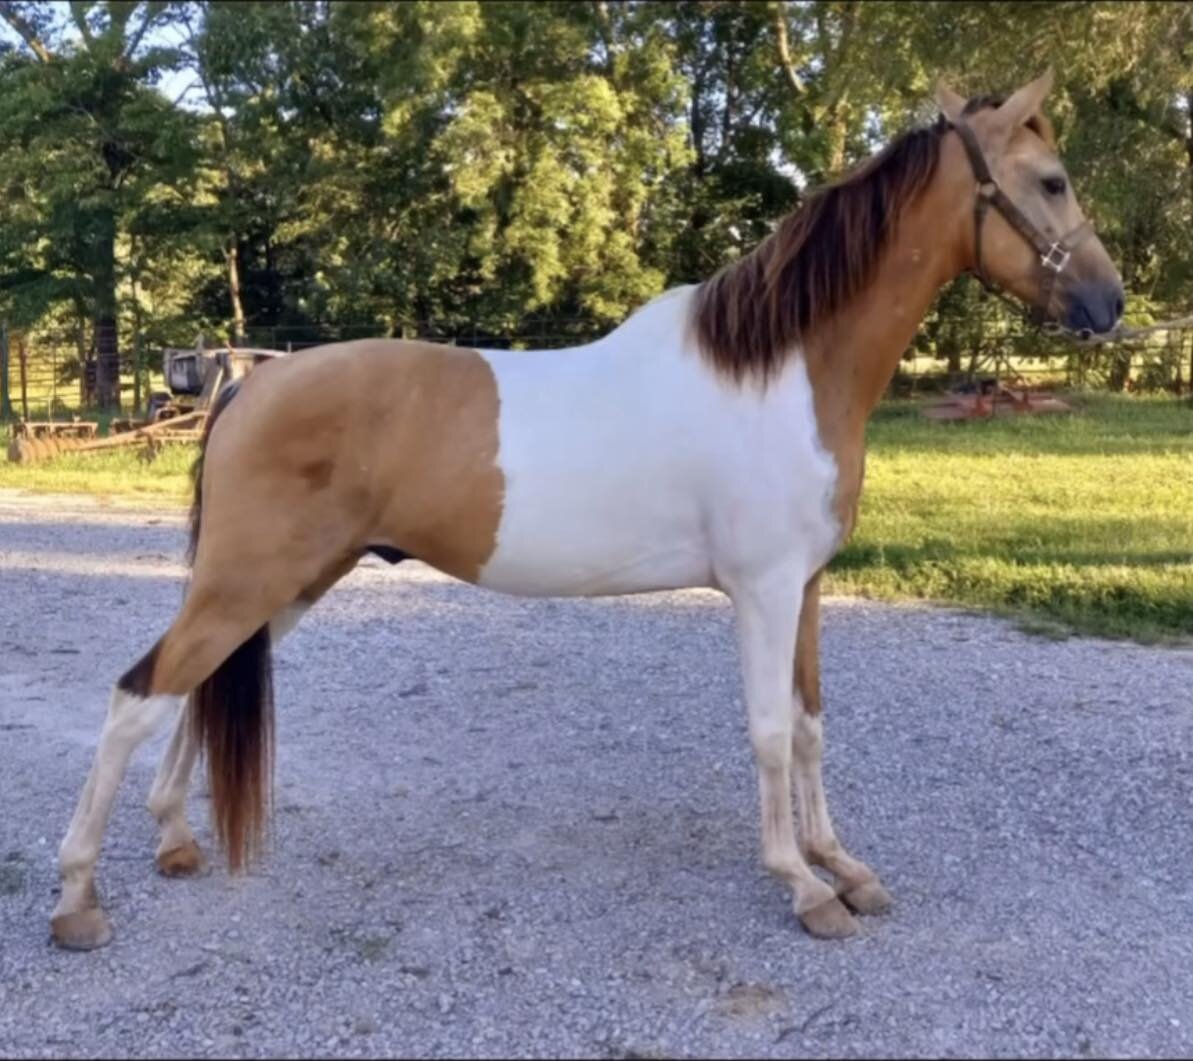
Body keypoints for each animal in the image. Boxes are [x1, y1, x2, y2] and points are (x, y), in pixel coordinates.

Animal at [50, 71, 1123, 950]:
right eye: (1051, 181)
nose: (1109, 304)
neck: (778, 370)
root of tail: (249, 384)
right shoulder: (763, 590)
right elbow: (770, 732)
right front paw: (801, 885)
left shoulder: (806, 588)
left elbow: (812, 726)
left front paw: (841, 865)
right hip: (248, 581)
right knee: (136, 696)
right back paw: (77, 899)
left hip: (291, 583)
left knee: (195, 690)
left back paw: (175, 840)